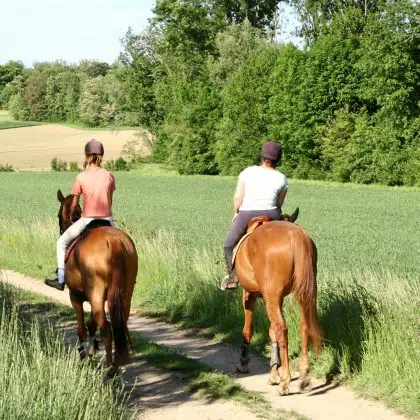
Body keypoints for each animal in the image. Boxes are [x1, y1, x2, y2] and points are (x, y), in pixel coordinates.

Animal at [55, 190, 138, 374]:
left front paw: (83, 353)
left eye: (58, 214)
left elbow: (82, 327)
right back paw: (117, 361)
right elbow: (90, 322)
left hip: (95, 292)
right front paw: (92, 349)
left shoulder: (75, 296)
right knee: (119, 322)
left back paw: (111, 369)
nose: (61, 229)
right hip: (125, 293)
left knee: (106, 328)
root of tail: (114, 241)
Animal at [236, 212, 322, 396]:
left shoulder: (249, 294)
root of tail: (296, 235)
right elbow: (271, 331)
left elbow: (248, 329)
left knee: (282, 329)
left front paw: (244, 363)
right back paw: (304, 377)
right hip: (304, 294)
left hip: (271, 296)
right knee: (303, 326)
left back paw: (285, 382)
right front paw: (273, 372)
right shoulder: (277, 298)